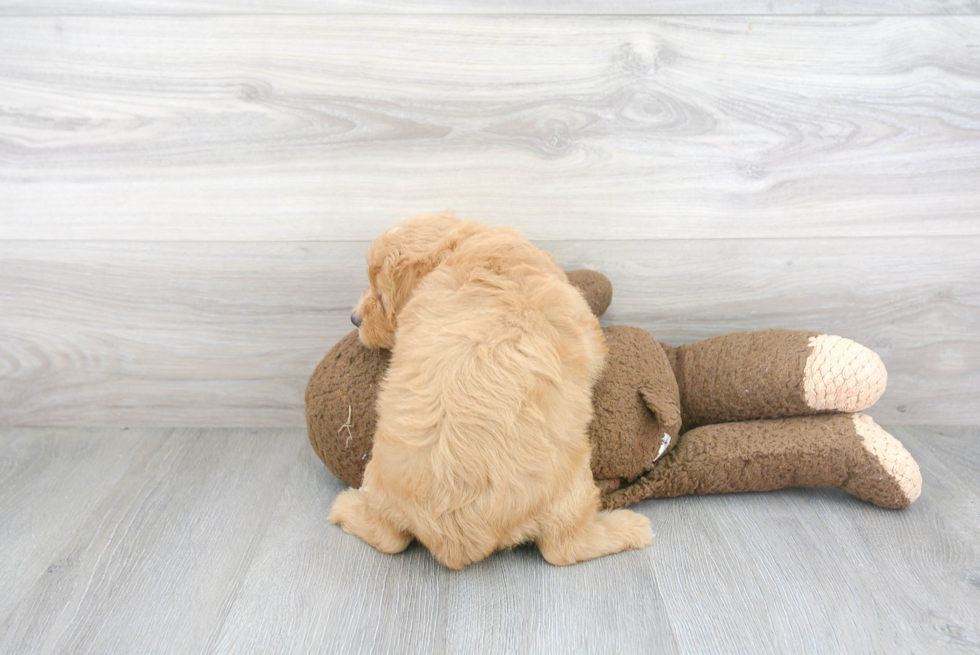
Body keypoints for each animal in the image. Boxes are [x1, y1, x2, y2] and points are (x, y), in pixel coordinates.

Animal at [326, 217, 656, 568]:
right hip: (572, 486)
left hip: (378, 484)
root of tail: (455, 543)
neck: (462, 249)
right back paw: (631, 526)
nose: (354, 319)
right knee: (564, 547)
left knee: (388, 537)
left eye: (380, 293)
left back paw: (344, 507)